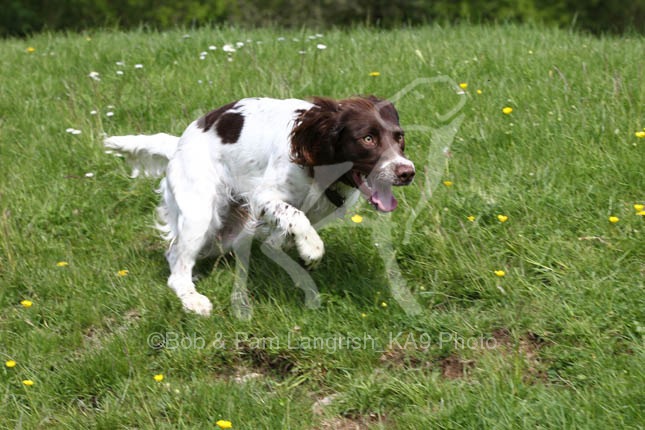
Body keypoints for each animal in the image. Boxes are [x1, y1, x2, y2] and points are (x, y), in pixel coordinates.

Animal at [105, 96, 415, 315]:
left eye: (398, 137)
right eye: (367, 138)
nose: (407, 172)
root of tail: (179, 144)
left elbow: (288, 229)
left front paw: (293, 250)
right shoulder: (264, 196)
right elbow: (296, 215)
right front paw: (311, 250)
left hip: (227, 231)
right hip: (201, 215)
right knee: (177, 264)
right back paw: (193, 300)